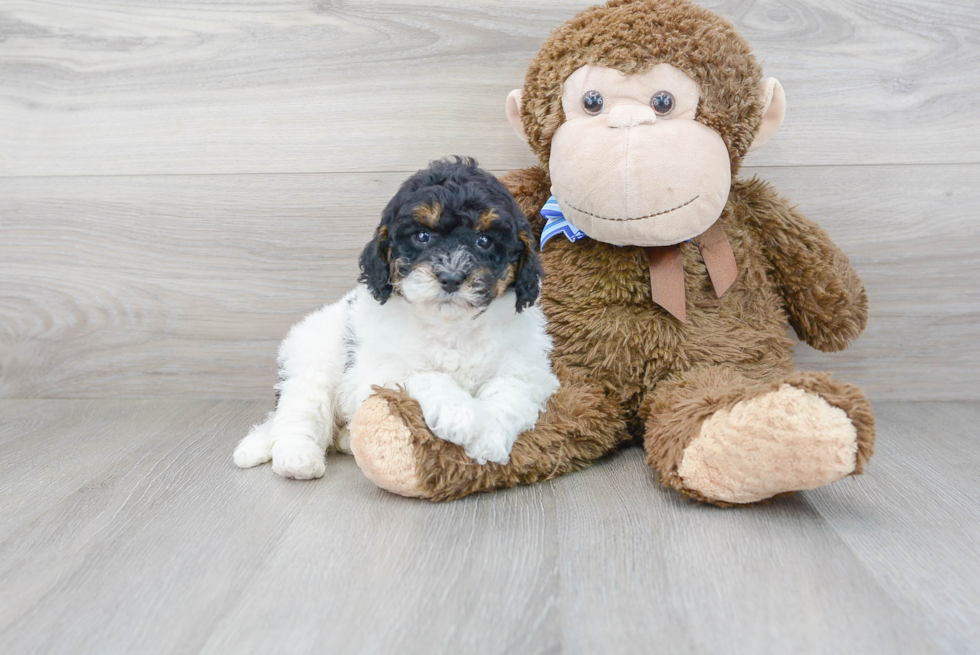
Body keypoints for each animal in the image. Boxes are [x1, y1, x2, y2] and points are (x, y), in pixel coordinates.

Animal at [234, 158, 560, 476]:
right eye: (422, 236)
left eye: (484, 241)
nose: (451, 277)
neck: (451, 327)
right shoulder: (379, 372)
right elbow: (427, 376)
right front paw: (460, 415)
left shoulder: (527, 370)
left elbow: (509, 393)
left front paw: (490, 436)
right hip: (310, 364)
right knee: (299, 414)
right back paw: (297, 458)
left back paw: (346, 440)